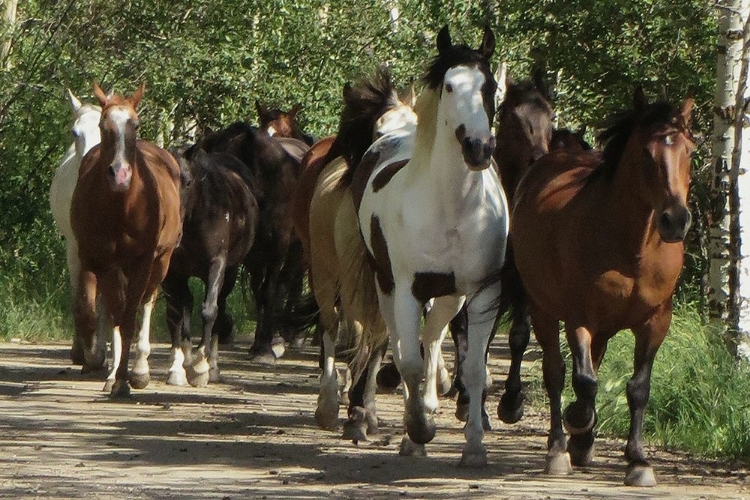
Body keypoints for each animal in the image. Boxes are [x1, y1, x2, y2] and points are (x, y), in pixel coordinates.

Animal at [71, 82, 182, 396]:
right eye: (103, 124)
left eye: (136, 124)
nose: (120, 174)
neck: (122, 207)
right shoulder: (96, 258)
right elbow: (97, 313)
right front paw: (99, 363)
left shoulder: (142, 261)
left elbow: (131, 316)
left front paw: (125, 379)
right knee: (115, 311)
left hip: (160, 262)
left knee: (145, 302)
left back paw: (139, 369)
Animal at [163, 145, 260, 386]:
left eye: (188, 181)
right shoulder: (173, 272)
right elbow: (176, 313)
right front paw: (179, 367)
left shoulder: (216, 263)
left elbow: (209, 311)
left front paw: (200, 366)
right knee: (185, 304)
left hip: (230, 272)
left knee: (219, 307)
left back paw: (212, 365)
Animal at [354, 26, 508, 464]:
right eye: (450, 85)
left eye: (490, 86)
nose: (478, 148)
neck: (451, 208)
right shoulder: (408, 289)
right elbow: (407, 362)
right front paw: (418, 431)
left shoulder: (483, 291)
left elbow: (473, 368)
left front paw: (474, 447)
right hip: (387, 288)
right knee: (401, 342)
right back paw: (413, 431)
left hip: (450, 295)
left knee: (434, 337)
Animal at [516, 88, 696, 486]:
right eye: (646, 152)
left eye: (689, 151)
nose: (675, 220)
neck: (632, 250)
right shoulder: (579, 318)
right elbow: (583, 382)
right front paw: (576, 421)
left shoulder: (656, 322)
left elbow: (638, 388)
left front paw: (639, 461)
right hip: (542, 309)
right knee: (556, 373)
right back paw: (560, 448)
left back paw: (583, 445)